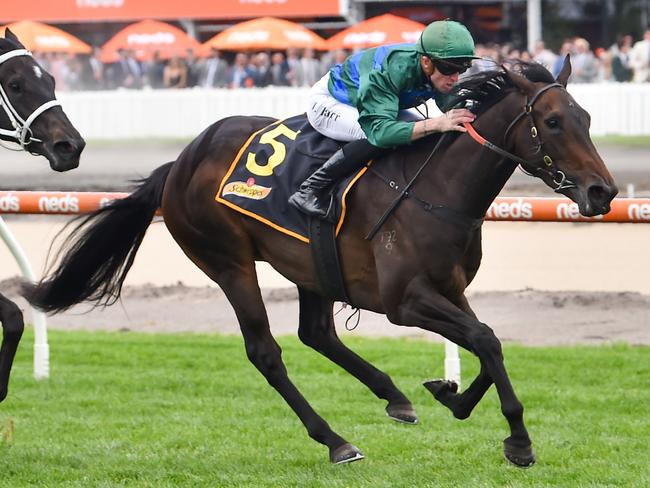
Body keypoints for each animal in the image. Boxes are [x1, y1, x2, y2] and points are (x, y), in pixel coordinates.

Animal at [24, 59, 612, 468]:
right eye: (552, 122)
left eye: (585, 117)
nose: (602, 191)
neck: (438, 190)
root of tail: (179, 162)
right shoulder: (406, 301)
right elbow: (486, 340)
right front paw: (518, 441)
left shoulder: (450, 289)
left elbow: (487, 342)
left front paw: (451, 396)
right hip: (228, 261)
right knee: (267, 352)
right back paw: (335, 440)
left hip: (309, 263)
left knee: (317, 333)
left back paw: (394, 397)